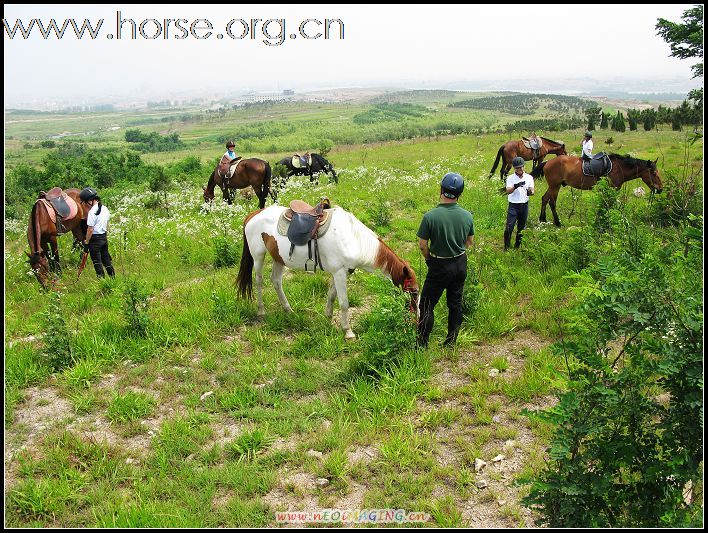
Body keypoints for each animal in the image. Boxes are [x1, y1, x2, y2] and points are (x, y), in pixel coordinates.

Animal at [235, 204, 418, 336]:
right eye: (414, 293)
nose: (417, 321)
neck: (354, 238)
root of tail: (252, 215)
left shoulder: (341, 272)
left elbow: (331, 296)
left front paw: (328, 318)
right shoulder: (339, 272)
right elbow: (344, 303)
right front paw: (348, 332)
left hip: (278, 258)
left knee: (276, 281)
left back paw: (288, 310)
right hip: (258, 256)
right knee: (259, 281)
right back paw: (261, 311)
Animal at [532, 153, 664, 225]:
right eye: (653, 173)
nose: (660, 189)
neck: (619, 168)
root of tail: (547, 162)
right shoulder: (611, 189)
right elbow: (609, 205)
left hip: (554, 186)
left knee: (544, 199)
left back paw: (542, 219)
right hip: (555, 186)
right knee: (552, 202)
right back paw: (557, 222)